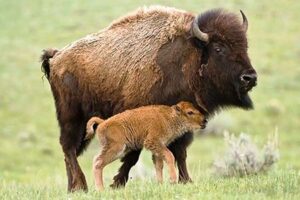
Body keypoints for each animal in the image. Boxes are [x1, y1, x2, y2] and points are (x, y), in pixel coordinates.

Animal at [41, 5, 258, 191]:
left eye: (246, 46)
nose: (250, 77)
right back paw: (80, 186)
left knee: (70, 152)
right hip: (71, 117)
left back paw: (72, 187)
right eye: (219, 48)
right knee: (69, 148)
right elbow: (135, 155)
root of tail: (57, 56)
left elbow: (180, 152)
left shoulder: (182, 126)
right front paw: (117, 183)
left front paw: (185, 180)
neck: (190, 55)